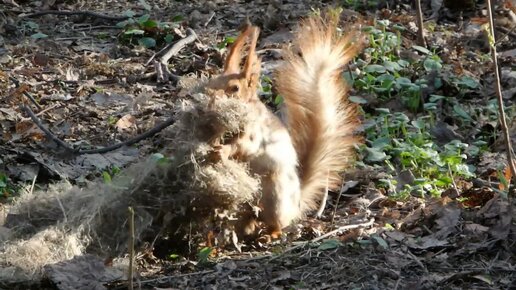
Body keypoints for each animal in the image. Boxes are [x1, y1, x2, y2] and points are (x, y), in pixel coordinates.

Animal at [204, 14, 360, 238]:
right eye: (212, 82)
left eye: (234, 88)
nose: (210, 100)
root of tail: (297, 203)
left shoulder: (255, 134)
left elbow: (242, 146)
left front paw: (222, 151)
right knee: (249, 221)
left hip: (274, 198)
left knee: (277, 223)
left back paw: (271, 234)